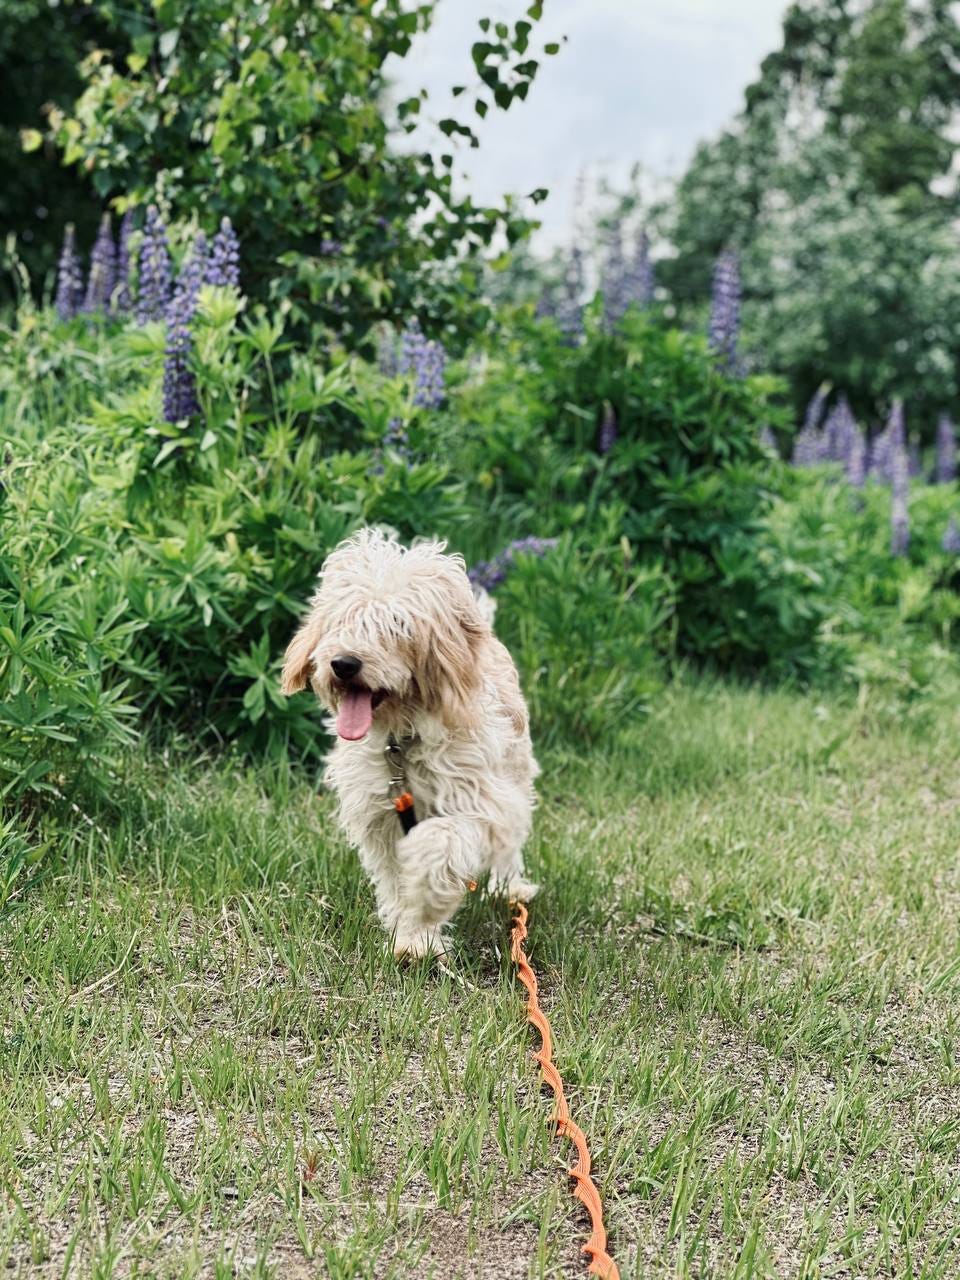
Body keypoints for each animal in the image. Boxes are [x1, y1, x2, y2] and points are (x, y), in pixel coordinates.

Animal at [281, 528, 539, 959]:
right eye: (344, 619)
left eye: (396, 626)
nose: (344, 663)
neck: (401, 741)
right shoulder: (379, 816)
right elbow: (394, 877)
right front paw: (413, 937)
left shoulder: (478, 800)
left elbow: (441, 846)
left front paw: (427, 912)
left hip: (514, 778)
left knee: (510, 840)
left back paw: (510, 888)